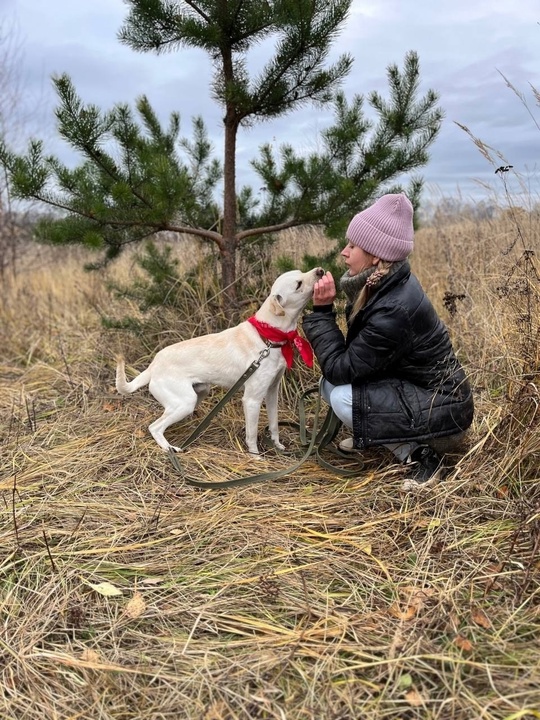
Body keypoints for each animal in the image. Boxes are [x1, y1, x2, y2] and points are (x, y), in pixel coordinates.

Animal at [115, 268, 322, 452]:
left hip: (197, 394)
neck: (268, 336)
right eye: (298, 284)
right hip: (185, 402)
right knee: (155, 427)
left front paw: (277, 446)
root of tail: (153, 366)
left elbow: (274, 425)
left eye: (301, 272)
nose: (320, 270)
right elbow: (252, 435)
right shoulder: (252, 400)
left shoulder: (272, 392)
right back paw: (169, 449)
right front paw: (255, 457)